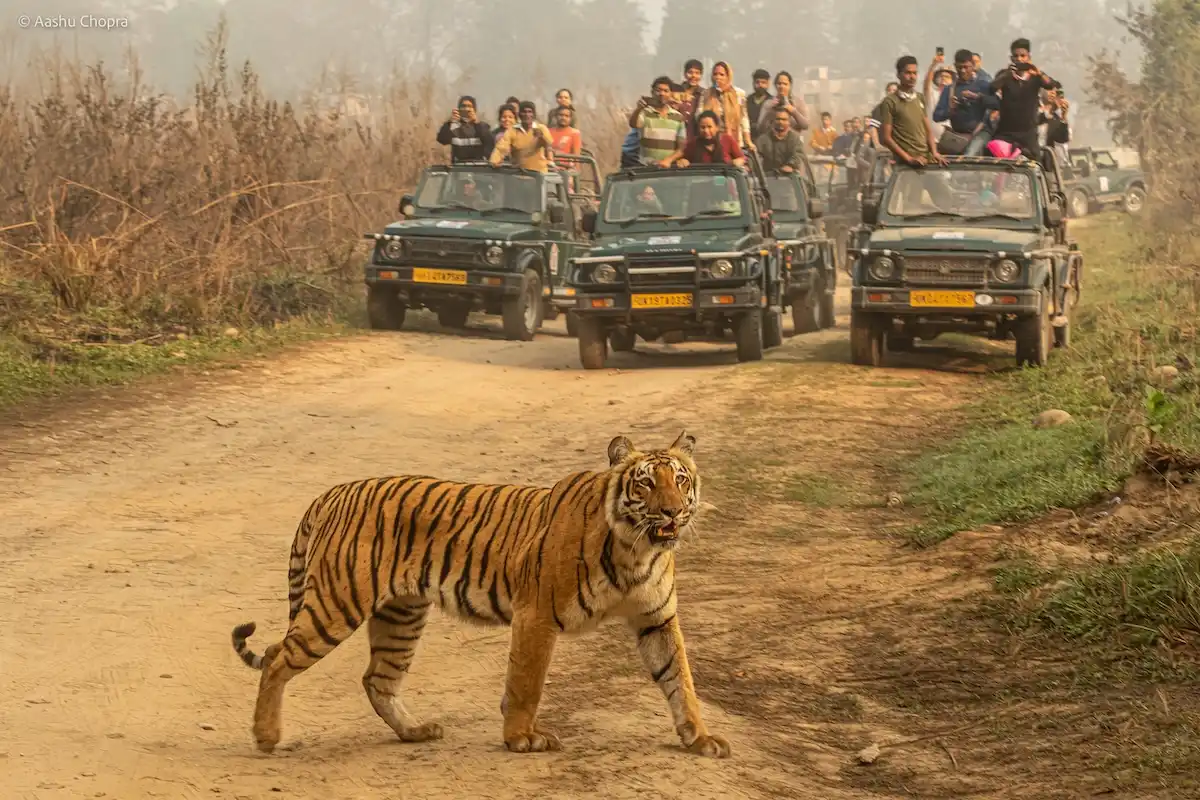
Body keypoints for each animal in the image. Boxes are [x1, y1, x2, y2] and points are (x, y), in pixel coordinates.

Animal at [230, 430, 730, 758]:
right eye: (645, 482)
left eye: (681, 480)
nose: (673, 512)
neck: (638, 549)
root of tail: (332, 493)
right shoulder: (536, 614)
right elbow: (526, 683)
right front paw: (521, 738)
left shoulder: (656, 618)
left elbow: (679, 679)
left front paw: (700, 738)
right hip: (338, 602)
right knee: (276, 656)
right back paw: (266, 737)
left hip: (401, 615)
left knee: (377, 679)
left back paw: (415, 732)